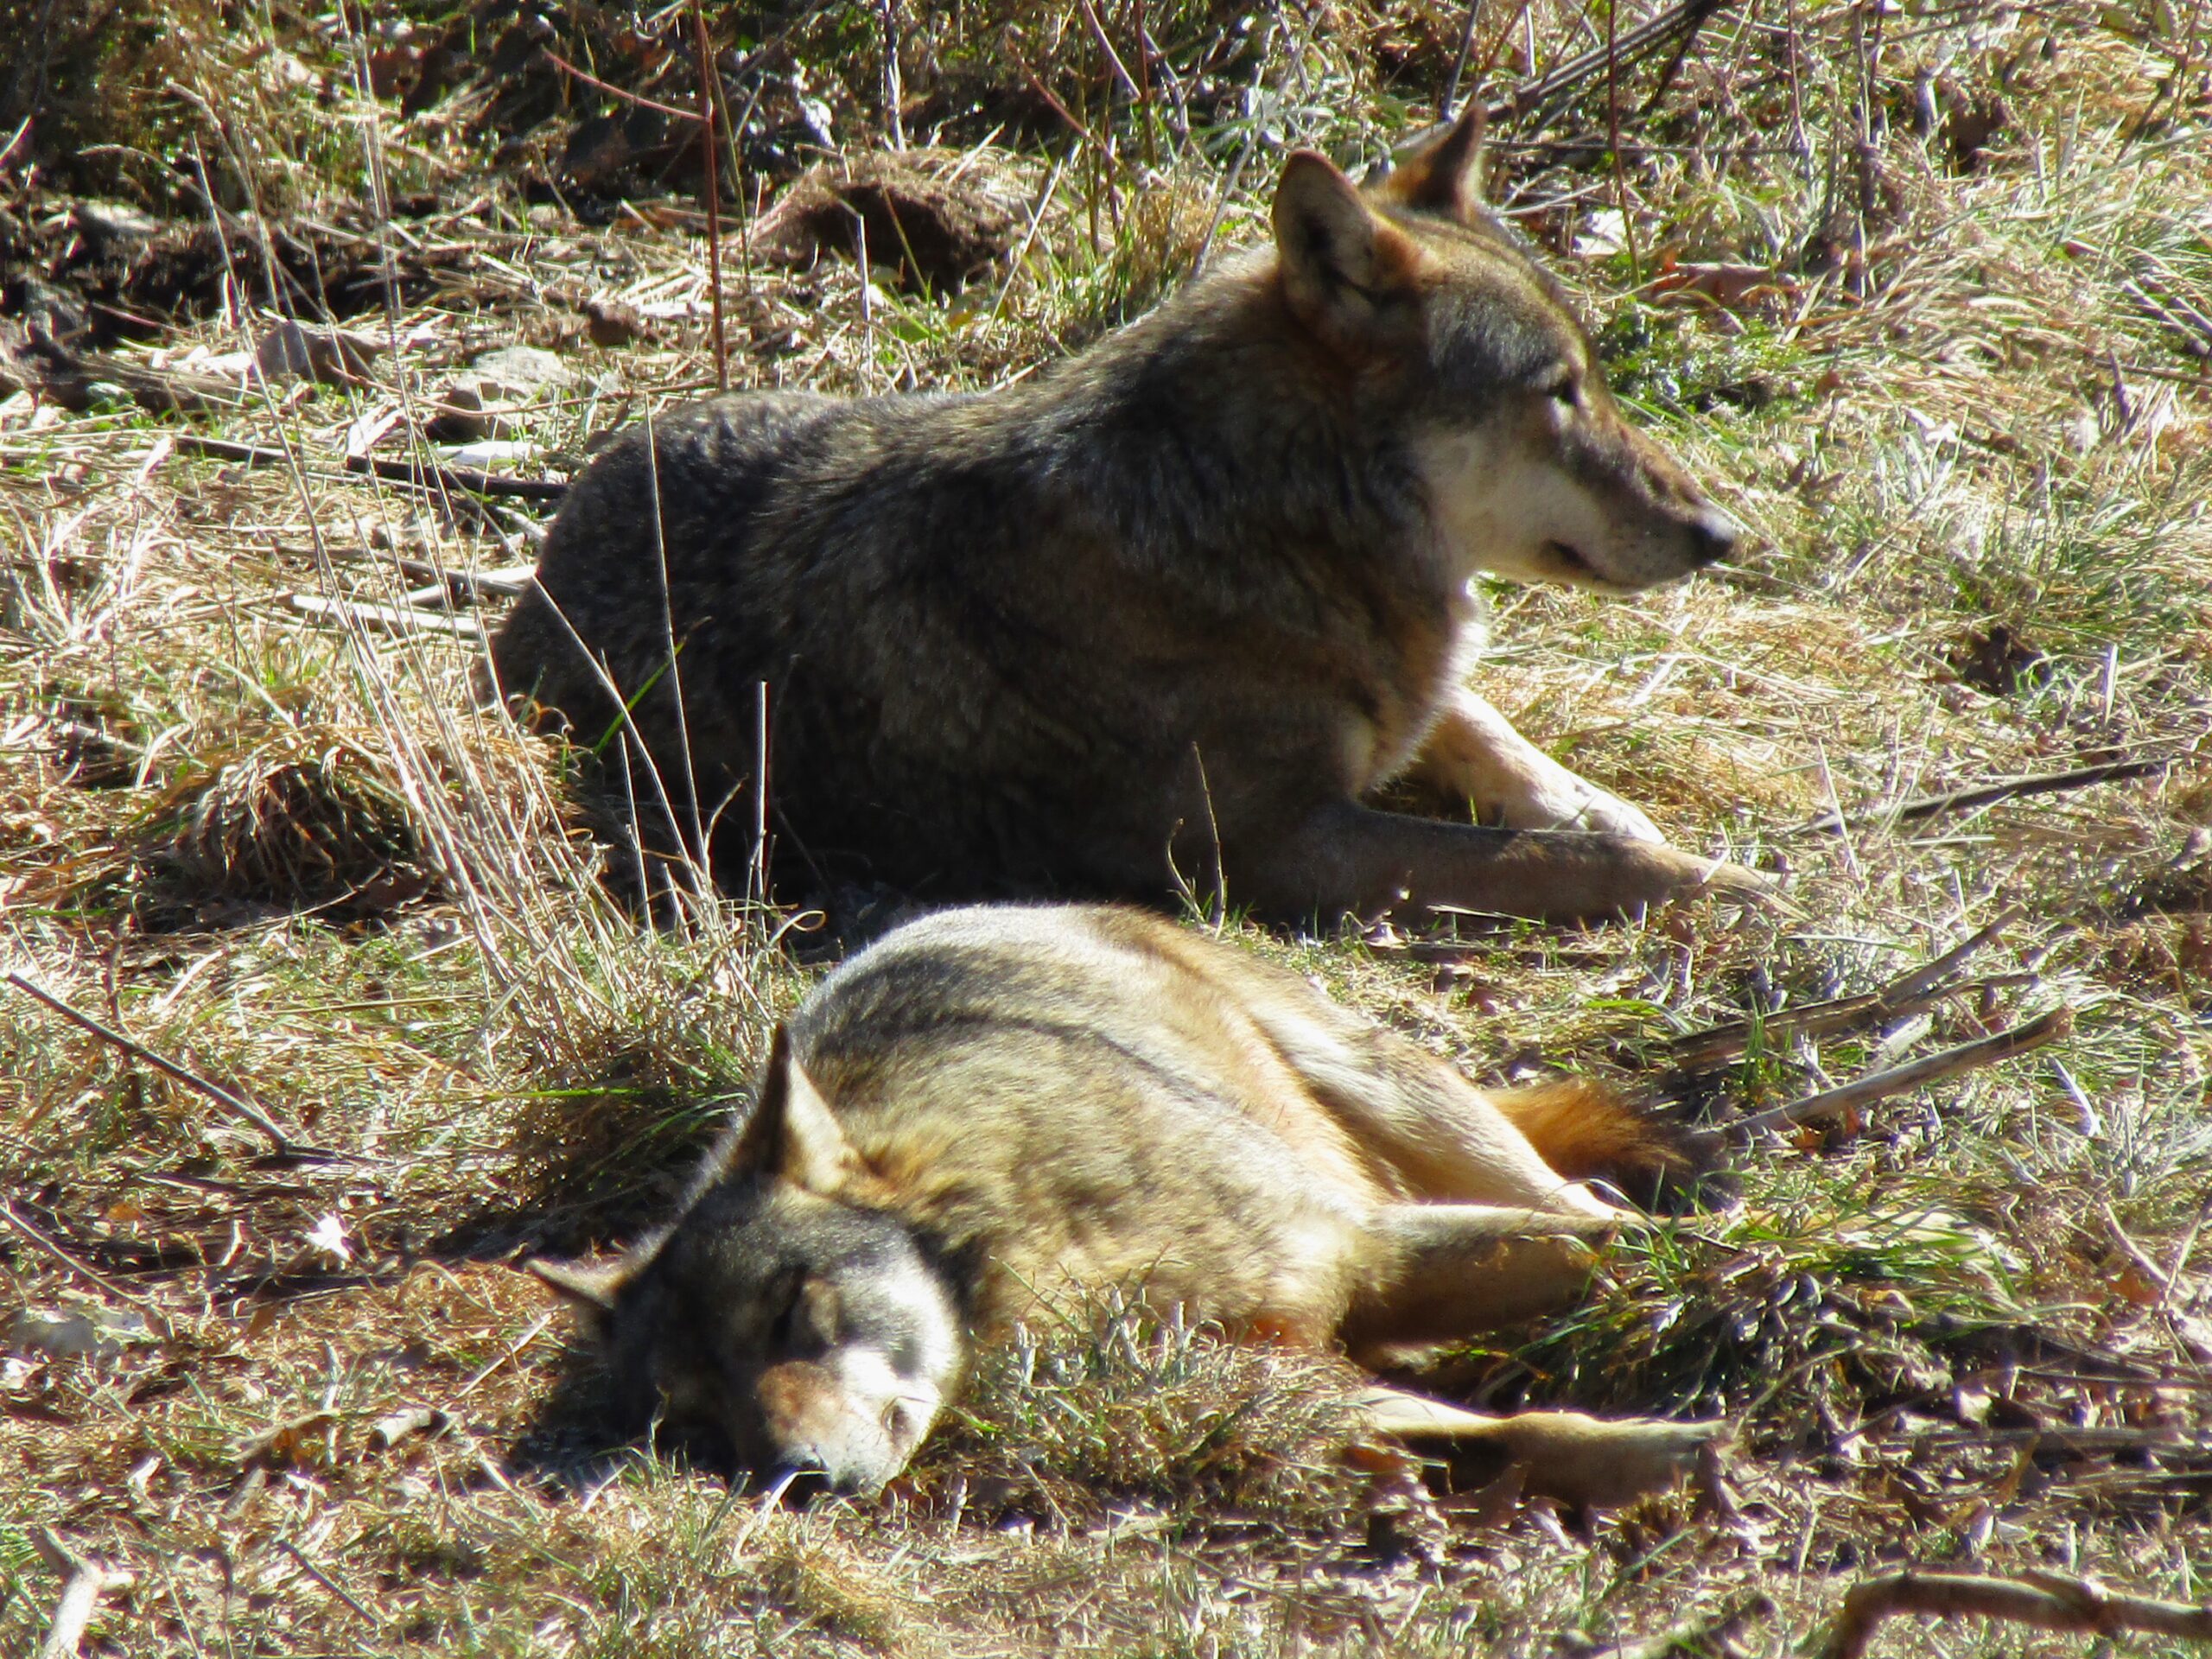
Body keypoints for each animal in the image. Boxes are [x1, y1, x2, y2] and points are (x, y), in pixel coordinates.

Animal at [493, 107, 1751, 925]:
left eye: (1593, 374)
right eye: (1556, 391)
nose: (1722, 537)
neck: (1259, 522)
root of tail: (541, 566)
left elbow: (1485, 727)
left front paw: (1606, 811)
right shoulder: (1278, 847)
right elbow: (1534, 864)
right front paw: (1712, 881)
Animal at [535, 902, 1725, 1513]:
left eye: (789, 1316)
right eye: (696, 1425)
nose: (793, 1480)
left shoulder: (1364, 1254)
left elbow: (1631, 1249)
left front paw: (1746, 1278)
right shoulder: (1276, 1381)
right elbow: (1499, 1432)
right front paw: (1641, 1456)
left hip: (1415, 1113)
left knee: (1572, 1191)